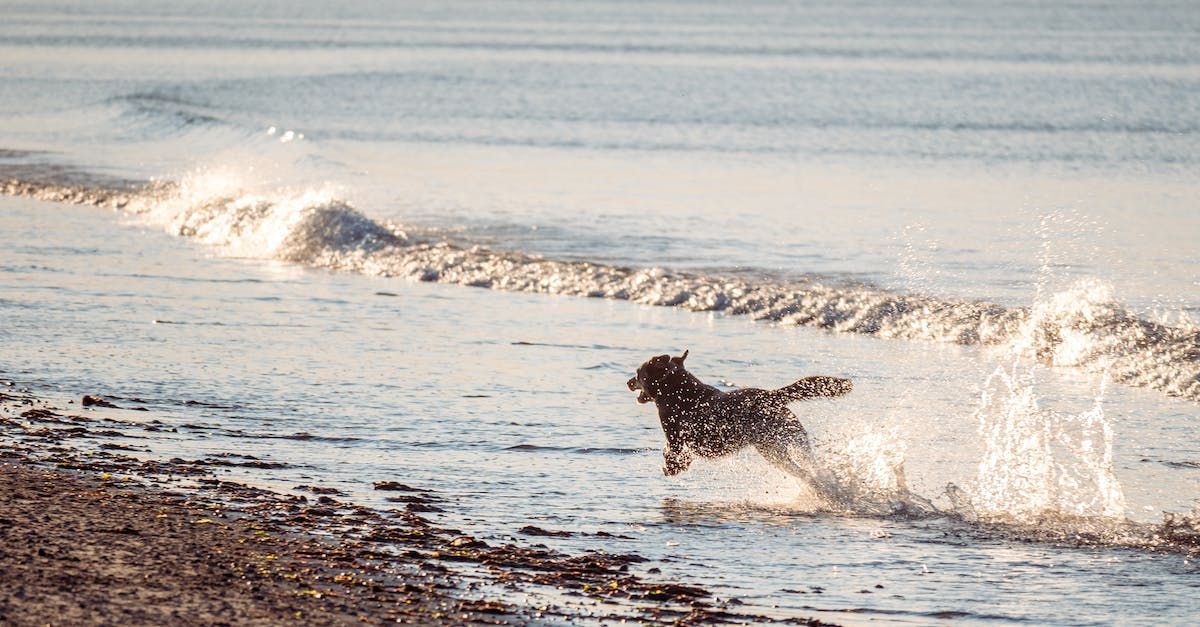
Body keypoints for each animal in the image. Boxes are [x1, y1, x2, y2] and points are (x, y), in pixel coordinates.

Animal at [628, 348, 854, 485]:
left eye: (638, 373)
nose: (628, 382)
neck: (675, 388)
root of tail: (772, 395)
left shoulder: (675, 436)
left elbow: (671, 452)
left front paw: (671, 468)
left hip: (771, 447)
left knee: (800, 470)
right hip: (795, 439)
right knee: (811, 462)